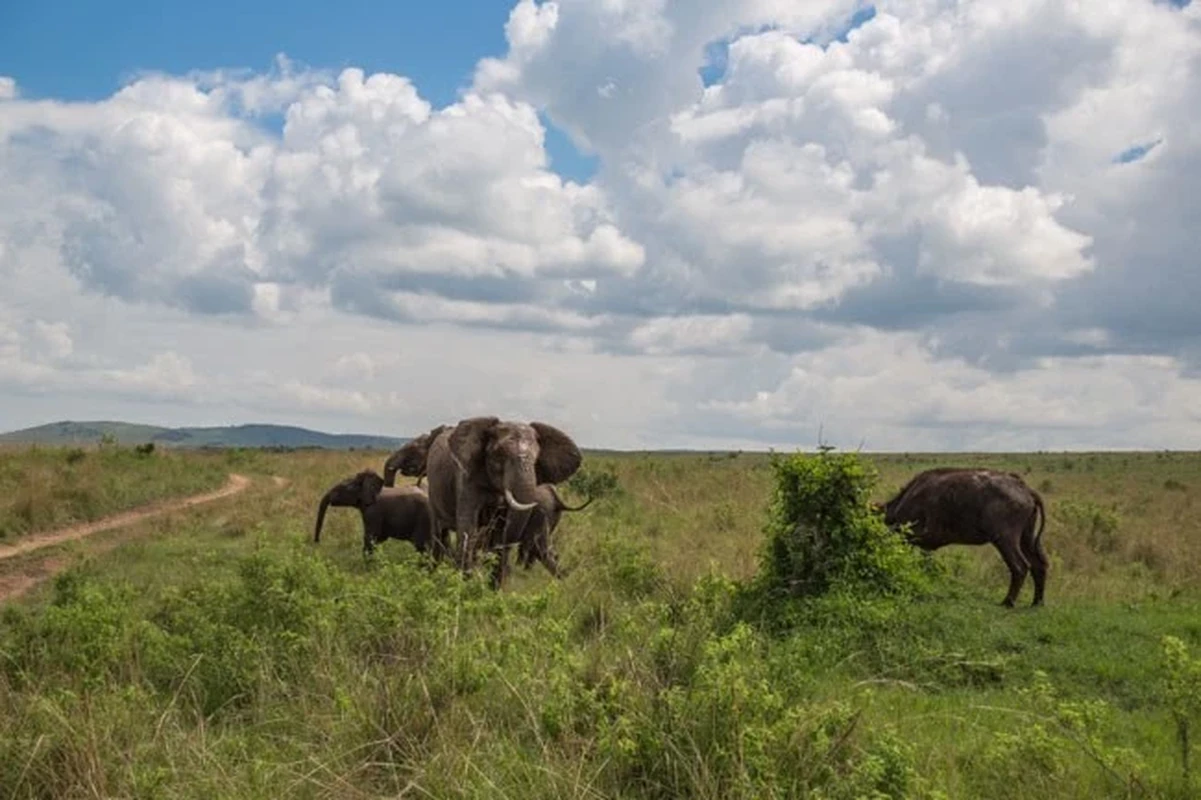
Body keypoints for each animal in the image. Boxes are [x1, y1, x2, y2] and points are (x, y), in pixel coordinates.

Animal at [425, 413, 583, 576]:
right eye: (499, 456)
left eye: (536, 461)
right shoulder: (465, 476)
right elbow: (468, 527)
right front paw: (465, 578)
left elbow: (501, 527)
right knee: (439, 531)